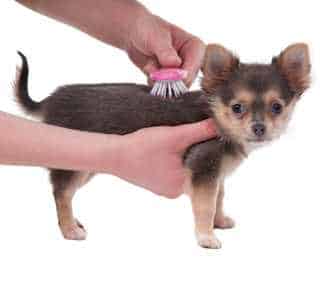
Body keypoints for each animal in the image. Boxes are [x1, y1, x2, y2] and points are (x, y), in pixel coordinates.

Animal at [14, 43, 310, 248]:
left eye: (277, 107)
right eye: (237, 108)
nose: (259, 128)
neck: (217, 118)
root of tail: (50, 101)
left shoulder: (215, 175)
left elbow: (218, 198)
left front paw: (219, 221)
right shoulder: (202, 168)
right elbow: (205, 205)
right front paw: (206, 236)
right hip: (74, 165)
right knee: (62, 194)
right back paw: (69, 229)